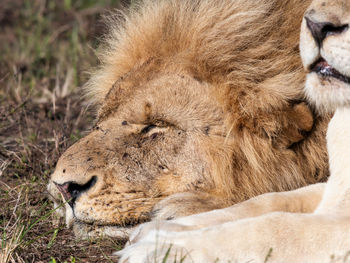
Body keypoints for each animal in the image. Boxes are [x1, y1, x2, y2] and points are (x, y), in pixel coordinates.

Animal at [119, 0, 350, 262]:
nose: (316, 26)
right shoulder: (329, 187)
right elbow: (265, 201)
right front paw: (160, 230)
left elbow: (276, 227)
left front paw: (161, 249)